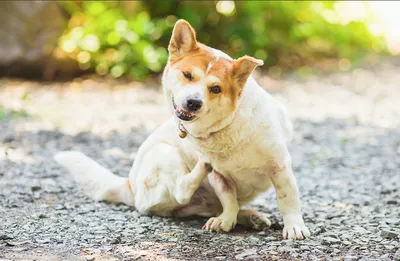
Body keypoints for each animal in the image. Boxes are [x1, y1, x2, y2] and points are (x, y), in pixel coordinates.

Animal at [54, 19, 310, 240]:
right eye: (187, 75)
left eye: (216, 89)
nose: (193, 102)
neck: (228, 126)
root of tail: (129, 186)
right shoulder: (219, 177)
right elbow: (228, 198)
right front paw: (226, 219)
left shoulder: (279, 166)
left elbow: (287, 198)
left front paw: (293, 226)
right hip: (164, 153)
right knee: (182, 190)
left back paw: (249, 217)